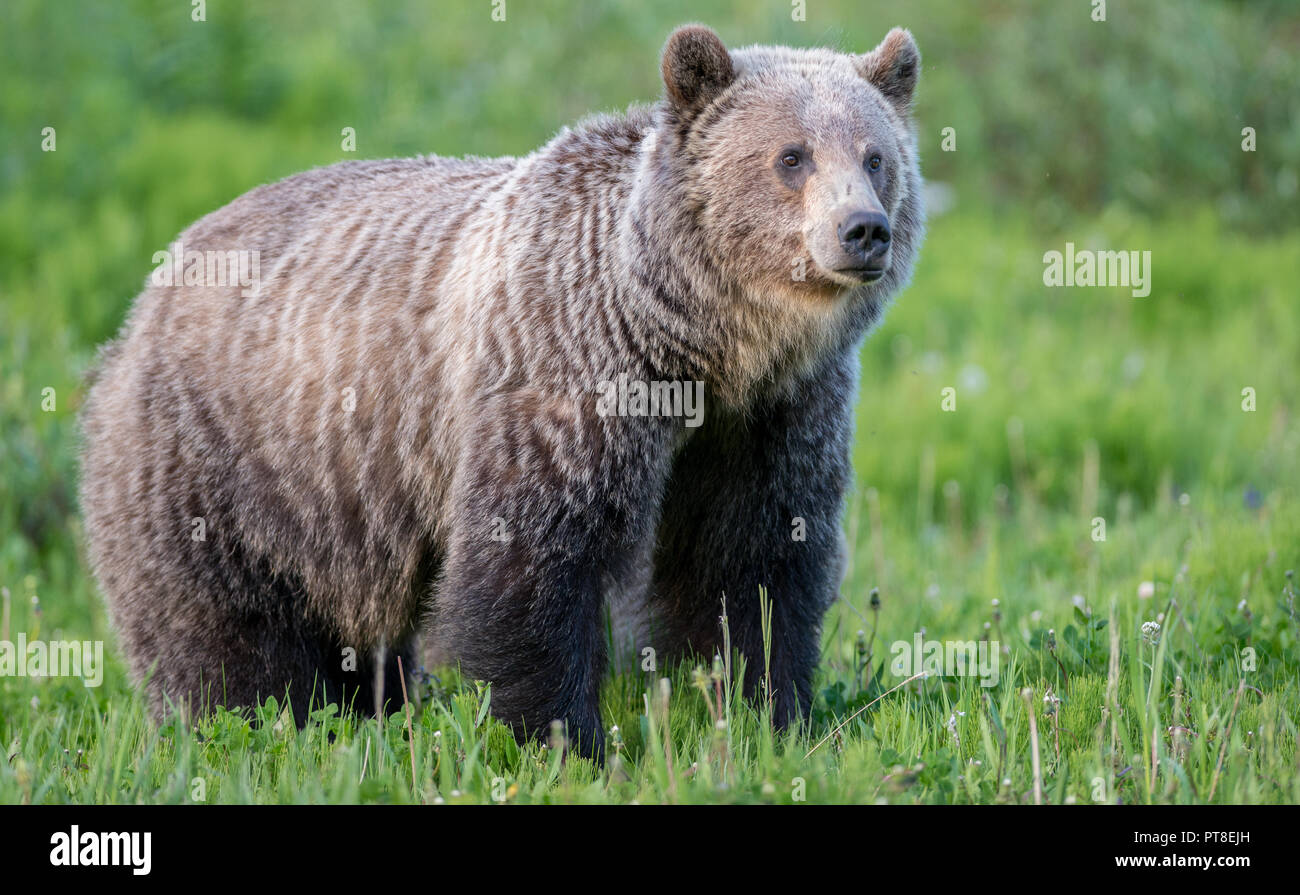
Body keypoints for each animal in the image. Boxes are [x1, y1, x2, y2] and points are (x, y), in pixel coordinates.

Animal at [79, 24, 923, 762]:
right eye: (791, 156)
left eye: (876, 156)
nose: (862, 230)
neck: (697, 346)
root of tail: (148, 294)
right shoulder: (566, 374)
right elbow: (534, 565)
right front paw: (566, 741)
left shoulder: (770, 418)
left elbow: (753, 565)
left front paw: (767, 718)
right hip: (225, 458)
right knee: (222, 630)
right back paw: (254, 727)